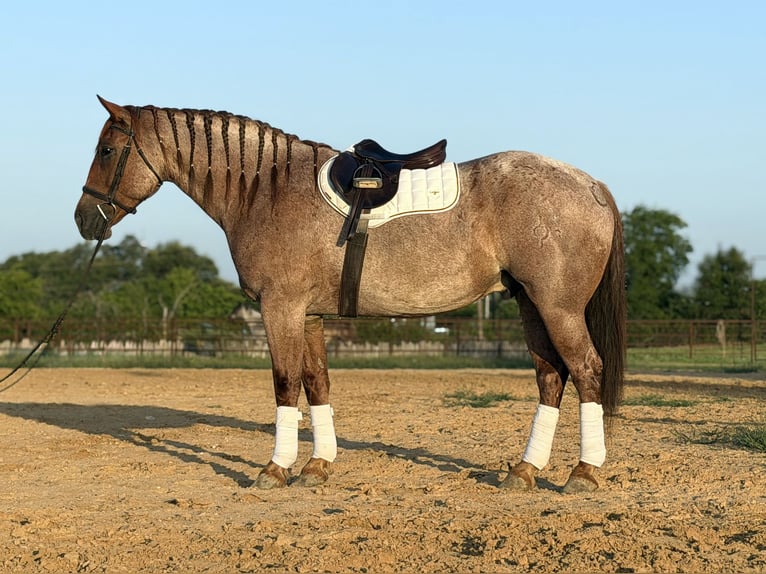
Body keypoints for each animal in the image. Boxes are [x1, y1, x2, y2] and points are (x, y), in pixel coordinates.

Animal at [75, 96, 626, 493]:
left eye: (106, 151)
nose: (84, 220)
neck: (265, 191)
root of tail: (591, 184)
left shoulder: (280, 309)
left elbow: (285, 385)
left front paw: (275, 470)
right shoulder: (309, 316)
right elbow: (317, 383)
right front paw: (317, 467)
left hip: (558, 308)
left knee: (586, 370)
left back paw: (583, 473)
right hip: (530, 304)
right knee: (551, 377)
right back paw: (524, 472)